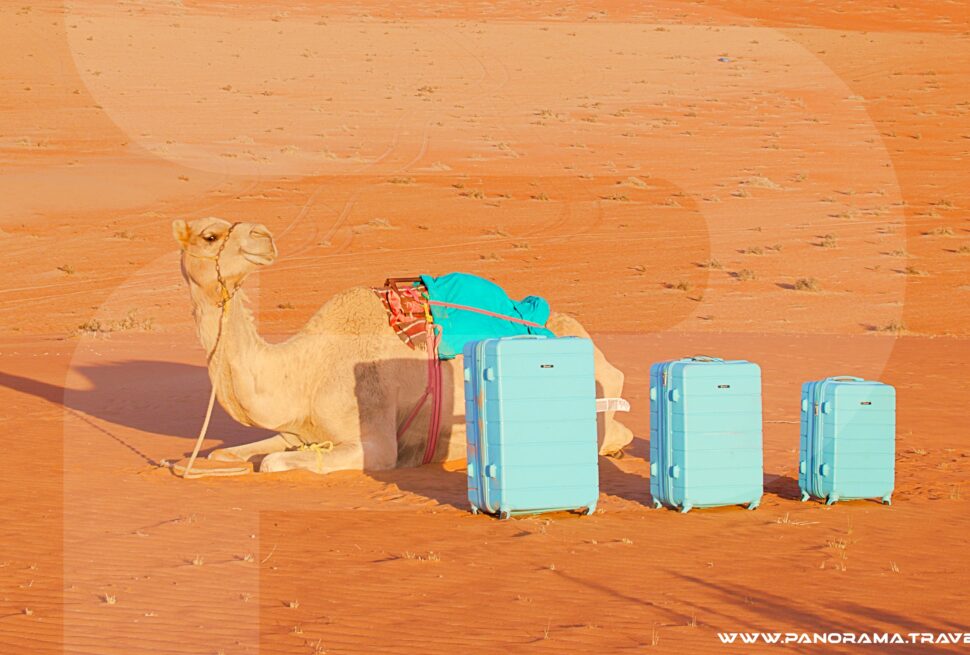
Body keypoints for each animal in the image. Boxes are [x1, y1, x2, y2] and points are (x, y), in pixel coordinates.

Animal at [173, 217, 634, 474]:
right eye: (209, 236)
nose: (263, 236)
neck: (304, 371)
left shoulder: (373, 440)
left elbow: (269, 464)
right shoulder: (297, 432)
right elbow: (222, 456)